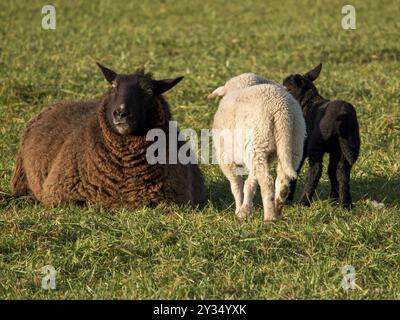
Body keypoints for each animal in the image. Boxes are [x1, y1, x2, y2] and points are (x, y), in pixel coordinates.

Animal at [208, 73, 304, 221]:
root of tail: (281, 110)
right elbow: (250, 183)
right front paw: (245, 210)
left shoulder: (225, 158)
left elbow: (236, 185)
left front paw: (238, 210)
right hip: (294, 143)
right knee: (282, 180)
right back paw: (278, 211)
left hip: (258, 144)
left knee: (267, 181)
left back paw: (269, 217)